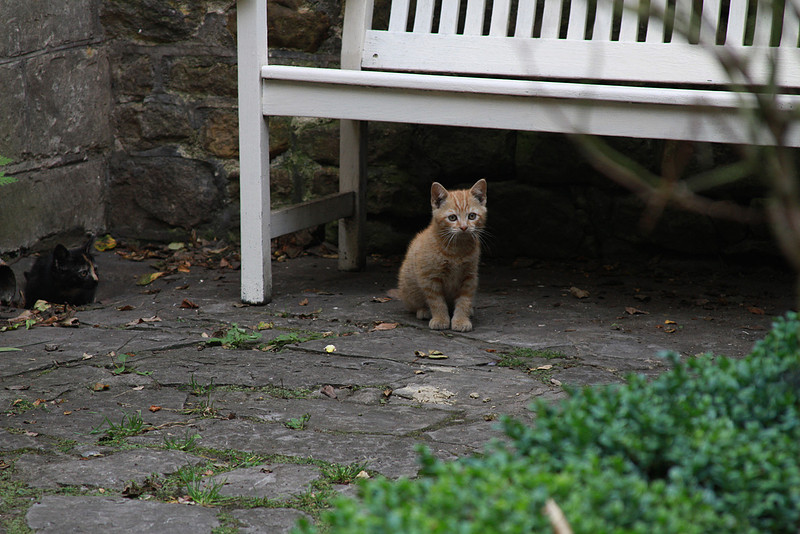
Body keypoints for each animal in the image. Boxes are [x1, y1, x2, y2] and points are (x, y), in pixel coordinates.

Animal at [397, 179, 487, 332]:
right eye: (452, 218)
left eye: (472, 216)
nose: (464, 227)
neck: (457, 250)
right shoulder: (430, 277)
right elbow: (437, 301)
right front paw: (440, 319)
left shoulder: (469, 276)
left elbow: (464, 300)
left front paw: (461, 320)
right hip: (409, 287)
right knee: (413, 306)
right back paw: (423, 311)